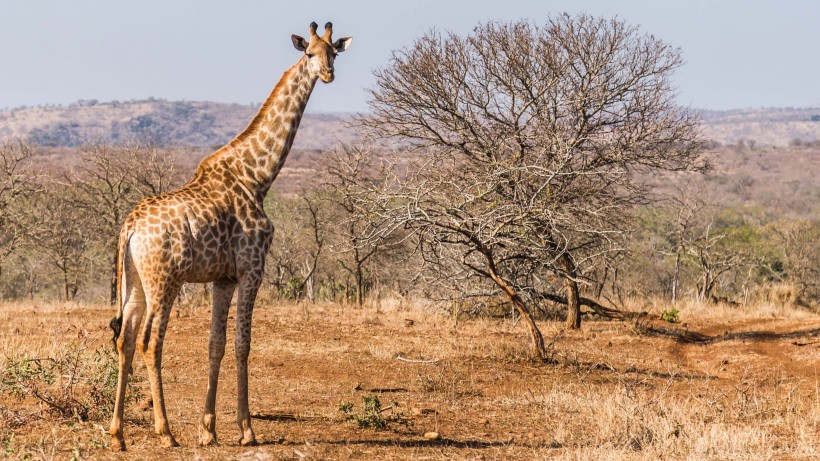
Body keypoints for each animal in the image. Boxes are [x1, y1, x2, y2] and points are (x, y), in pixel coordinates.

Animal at [109, 21, 352, 450]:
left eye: (334, 52)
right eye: (309, 53)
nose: (327, 74)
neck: (259, 177)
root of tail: (130, 226)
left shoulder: (222, 278)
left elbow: (216, 344)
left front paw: (208, 429)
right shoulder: (252, 268)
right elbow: (243, 344)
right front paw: (246, 430)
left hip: (134, 282)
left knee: (125, 339)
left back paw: (117, 434)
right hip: (165, 281)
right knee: (150, 342)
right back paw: (165, 431)